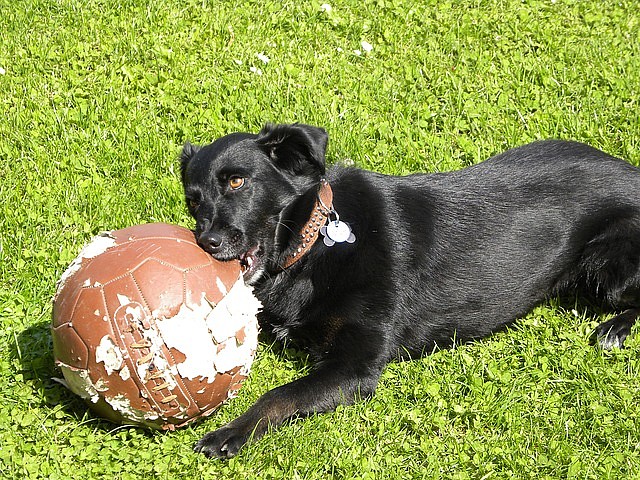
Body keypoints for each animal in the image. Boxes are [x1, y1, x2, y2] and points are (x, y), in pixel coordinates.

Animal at [180, 123, 640, 458]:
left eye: (237, 182)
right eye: (193, 200)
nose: (205, 242)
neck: (315, 242)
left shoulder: (354, 367)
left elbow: (279, 395)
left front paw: (230, 432)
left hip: (606, 269)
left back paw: (615, 330)